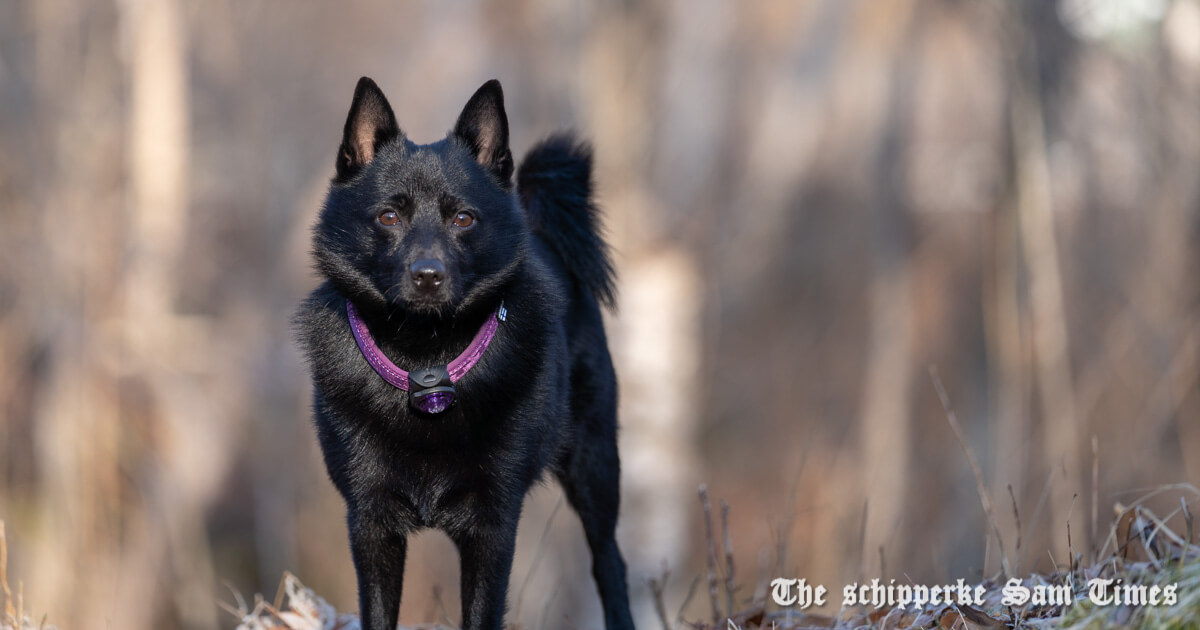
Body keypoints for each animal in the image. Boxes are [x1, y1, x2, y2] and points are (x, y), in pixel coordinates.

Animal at [294, 78, 633, 628]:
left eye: (463, 218)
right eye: (389, 215)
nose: (428, 276)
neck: (425, 361)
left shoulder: (492, 526)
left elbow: (481, 613)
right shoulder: (370, 523)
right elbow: (378, 611)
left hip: (596, 463)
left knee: (609, 562)